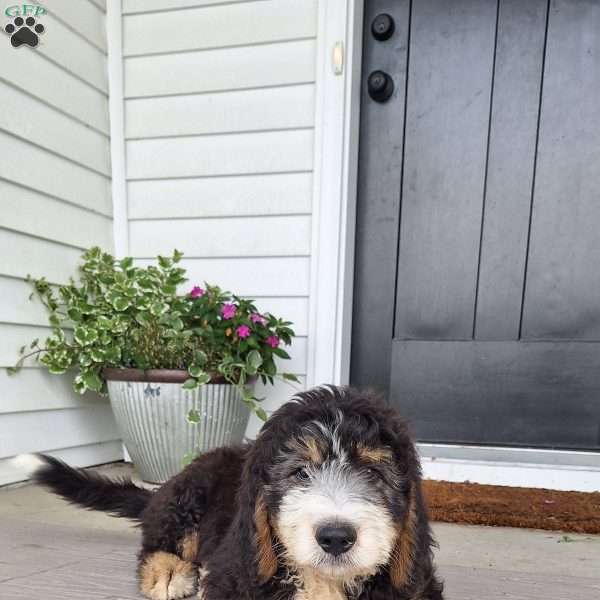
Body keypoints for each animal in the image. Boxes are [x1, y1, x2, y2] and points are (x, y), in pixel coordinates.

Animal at [18, 384, 442, 600]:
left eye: (372, 472)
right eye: (299, 472)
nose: (336, 537)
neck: (325, 582)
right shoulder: (234, 573)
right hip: (186, 503)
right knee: (158, 544)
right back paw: (167, 574)